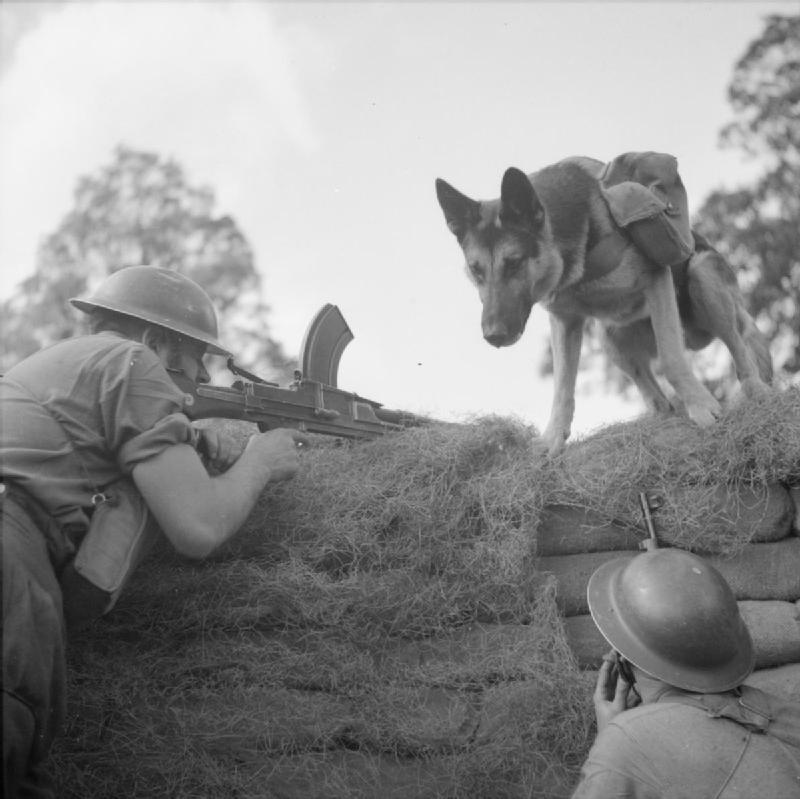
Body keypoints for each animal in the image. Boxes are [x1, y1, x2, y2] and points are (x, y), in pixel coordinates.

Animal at [434, 159, 772, 454]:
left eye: (514, 263)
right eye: (476, 270)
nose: (493, 336)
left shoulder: (656, 279)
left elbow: (672, 358)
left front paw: (702, 407)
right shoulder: (565, 322)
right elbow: (562, 387)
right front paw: (552, 439)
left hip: (704, 277)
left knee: (741, 351)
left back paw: (756, 392)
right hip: (610, 337)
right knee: (659, 400)